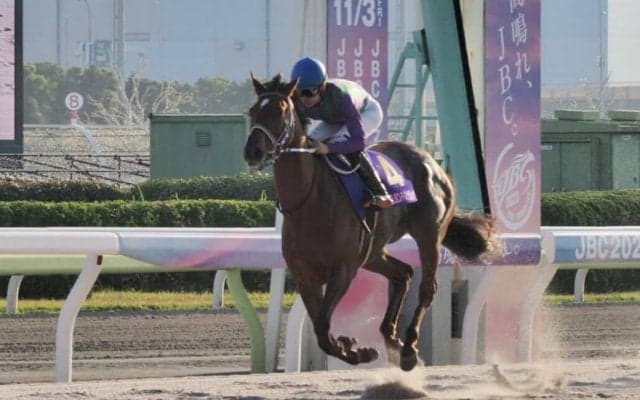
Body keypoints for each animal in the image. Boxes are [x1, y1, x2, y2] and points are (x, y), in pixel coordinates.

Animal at [244, 73, 494, 371]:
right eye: (252, 111)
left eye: (280, 111)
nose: (252, 151)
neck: (310, 202)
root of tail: (433, 163)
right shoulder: (305, 275)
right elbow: (320, 327)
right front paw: (351, 345)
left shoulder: (343, 270)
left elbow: (324, 328)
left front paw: (357, 350)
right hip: (373, 251)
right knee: (403, 274)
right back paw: (391, 338)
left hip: (429, 235)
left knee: (427, 287)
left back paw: (409, 348)